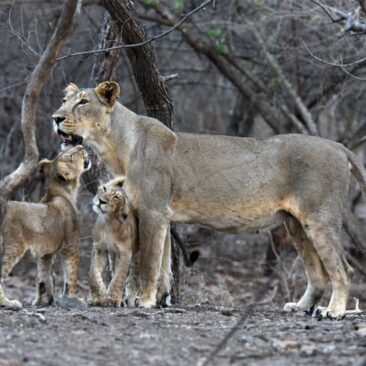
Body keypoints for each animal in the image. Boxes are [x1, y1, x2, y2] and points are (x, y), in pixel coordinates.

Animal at [52, 81, 366, 318]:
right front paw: (160, 298)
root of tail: (339, 146)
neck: (118, 147)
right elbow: (162, 262)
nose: (55, 118)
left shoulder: (153, 211)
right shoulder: (161, 215)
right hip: (296, 225)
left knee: (343, 269)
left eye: (83, 102)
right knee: (318, 274)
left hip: (320, 219)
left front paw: (144, 301)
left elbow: (148, 261)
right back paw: (300, 307)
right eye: (64, 100)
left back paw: (334, 311)